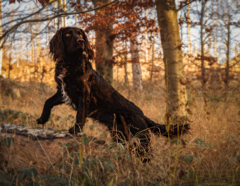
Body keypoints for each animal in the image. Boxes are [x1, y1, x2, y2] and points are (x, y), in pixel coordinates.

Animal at [36, 26, 189, 158]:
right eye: (68, 34)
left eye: (80, 34)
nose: (81, 41)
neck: (71, 63)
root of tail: (142, 115)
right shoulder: (63, 91)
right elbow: (48, 101)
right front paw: (42, 118)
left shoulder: (84, 94)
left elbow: (79, 115)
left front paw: (75, 131)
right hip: (119, 134)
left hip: (140, 136)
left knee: (145, 153)